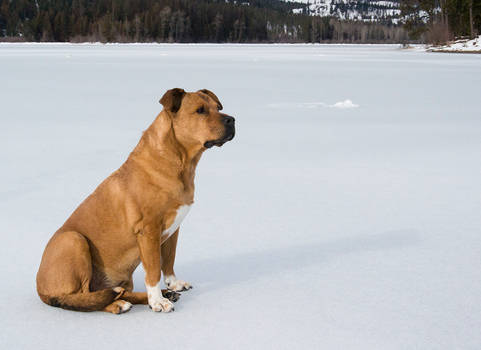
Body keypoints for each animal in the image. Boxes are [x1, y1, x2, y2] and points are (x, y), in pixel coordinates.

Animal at [36, 89, 234, 314]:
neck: (178, 161)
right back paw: (118, 304)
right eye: (200, 110)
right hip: (74, 240)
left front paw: (172, 286)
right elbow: (154, 270)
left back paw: (157, 295)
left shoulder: (174, 228)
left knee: (114, 291)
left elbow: (169, 259)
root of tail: (41, 290)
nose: (232, 120)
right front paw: (157, 301)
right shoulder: (148, 231)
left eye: (217, 107)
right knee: (86, 298)